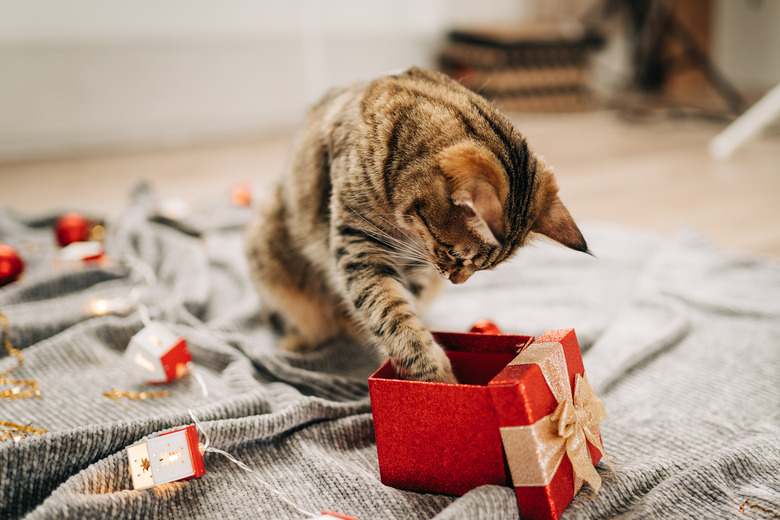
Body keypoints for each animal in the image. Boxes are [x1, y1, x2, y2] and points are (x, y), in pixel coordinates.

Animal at [244, 66, 584, 382]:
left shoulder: (415, 266)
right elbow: (390, 313)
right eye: (454, 254)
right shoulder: (359, 243)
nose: (455, 281)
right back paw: (297, 344)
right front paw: (434, 375)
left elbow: (406, 305)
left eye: (482, 269)